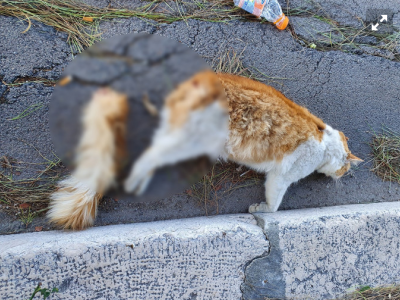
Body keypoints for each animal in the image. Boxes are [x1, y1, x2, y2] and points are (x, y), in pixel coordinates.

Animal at [47, 71, 362, 230]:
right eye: (345, 168)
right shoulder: (280, 177)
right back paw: (137, 182)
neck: (326, 142)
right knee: (146, 157)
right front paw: (261, 209)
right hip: (185, 141)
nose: (343, 176)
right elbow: (273, 204)